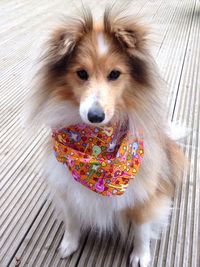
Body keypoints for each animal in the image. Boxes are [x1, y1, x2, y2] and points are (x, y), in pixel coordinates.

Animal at [26, 6, 184, 267]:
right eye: (81, 73)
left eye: (114, 74)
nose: (95, 115)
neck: (95, 146)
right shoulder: (67, 186)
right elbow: (71, 219)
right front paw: (69, 244)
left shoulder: (144, 191)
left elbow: (141, 228)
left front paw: (141, 255)